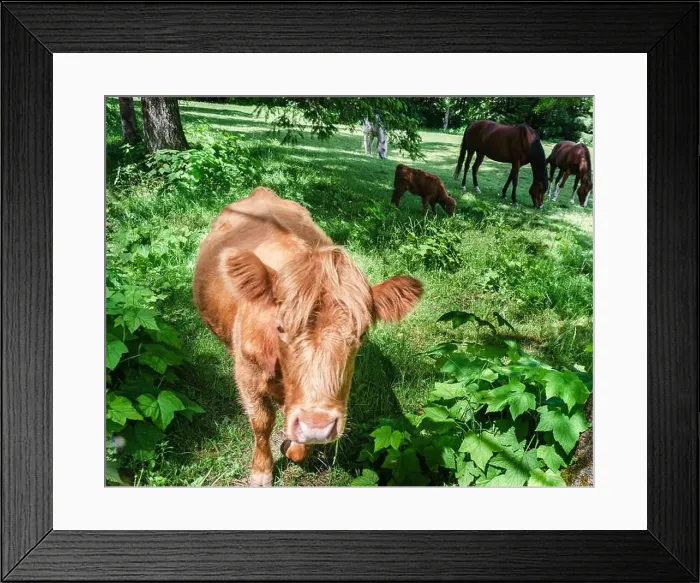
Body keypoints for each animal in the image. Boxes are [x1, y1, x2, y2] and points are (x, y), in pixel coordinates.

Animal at [193, 187, 423, 486]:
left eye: (361, 334)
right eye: (280, 328)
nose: (318, 426)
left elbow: (299, 443)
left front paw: (291, 447)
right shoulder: (247, 373)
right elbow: (262, 421)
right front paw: (261, 472)